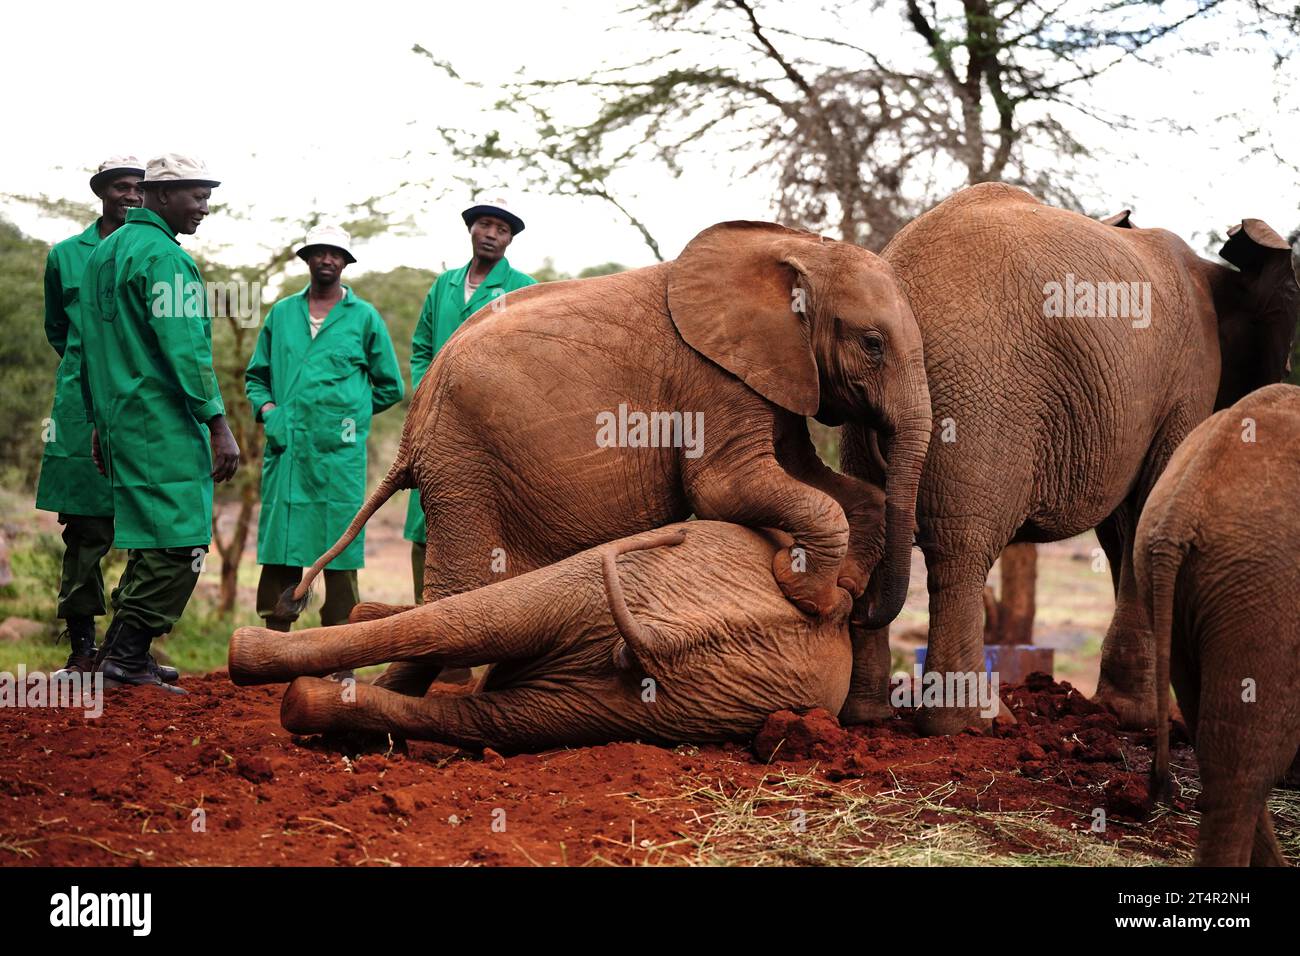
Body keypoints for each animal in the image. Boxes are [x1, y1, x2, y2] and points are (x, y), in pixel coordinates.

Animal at [284, 221, 930, 712]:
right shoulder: (712, 376)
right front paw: (811, 594)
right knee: (460, 591)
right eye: (872, 344)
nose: (865, 613)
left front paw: (841, 587)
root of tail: (412, 430)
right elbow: (726, 489)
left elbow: (830, 485)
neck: (798, 250)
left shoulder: (776, 370)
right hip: (462, 463)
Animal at [837, 183, 1294, 733]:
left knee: (878, 522)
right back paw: (973, 725)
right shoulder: (1189, 380)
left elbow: (1123, 530)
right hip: (981, 399)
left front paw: (1120, 712)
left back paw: (869, 718)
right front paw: (1137, 718)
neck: (1216, 271)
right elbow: (1145, 512)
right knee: (961, 550)